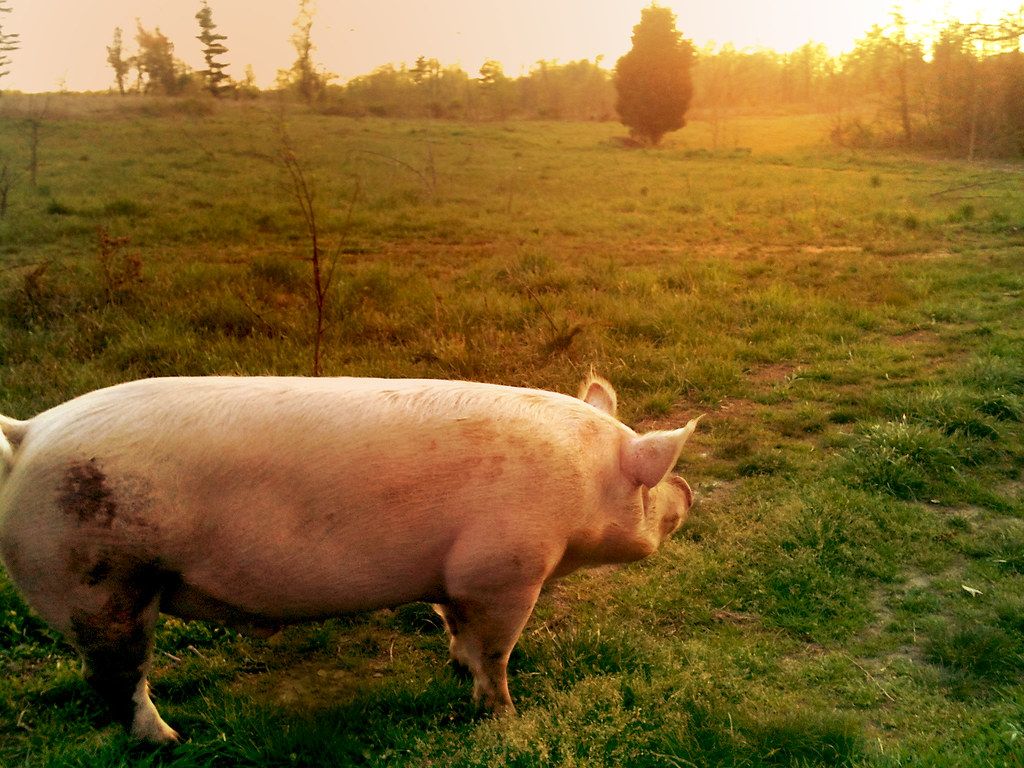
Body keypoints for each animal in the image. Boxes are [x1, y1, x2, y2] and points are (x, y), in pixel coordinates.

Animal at [0, 376, 696, 741]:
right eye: (655, 475)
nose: (689, 491)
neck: (581, 495)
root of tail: (28, 432)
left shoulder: (452, 576)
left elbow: (456, 626)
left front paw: (455, 666)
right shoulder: (505, 571)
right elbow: (497, 650)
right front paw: (503, 713)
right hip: (98, 581)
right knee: (116, 678)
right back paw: (169, 742)